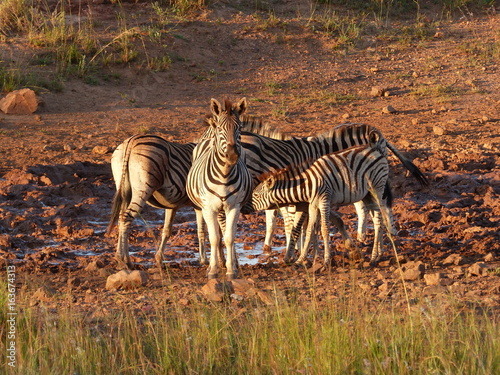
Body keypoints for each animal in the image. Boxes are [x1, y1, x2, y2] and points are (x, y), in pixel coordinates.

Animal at [186, 98, 252, 280]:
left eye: (239, 128)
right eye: (221, 129)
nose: (232, 155)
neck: (224, 174)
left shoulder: (234, 207)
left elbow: (229, 237)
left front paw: (231, 269)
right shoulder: (209, 208)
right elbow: (214, 238)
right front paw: (213, 270)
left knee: (224, 230)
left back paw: (229, 262)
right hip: (201, 207)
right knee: (207, 231)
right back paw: (211, 263)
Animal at [250, 134, 394, 266]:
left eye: (256, 195)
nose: (247, 207)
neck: (307, 184)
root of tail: (374, 150)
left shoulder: (324, 199)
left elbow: (324, 229)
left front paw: (325, 260)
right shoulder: (313, 204)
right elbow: (310, 230)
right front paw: (302, 259)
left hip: (377, 187)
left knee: (380, 217)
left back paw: (375, 256)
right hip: (367, 195)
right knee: (377, 220)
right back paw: (378, 255)